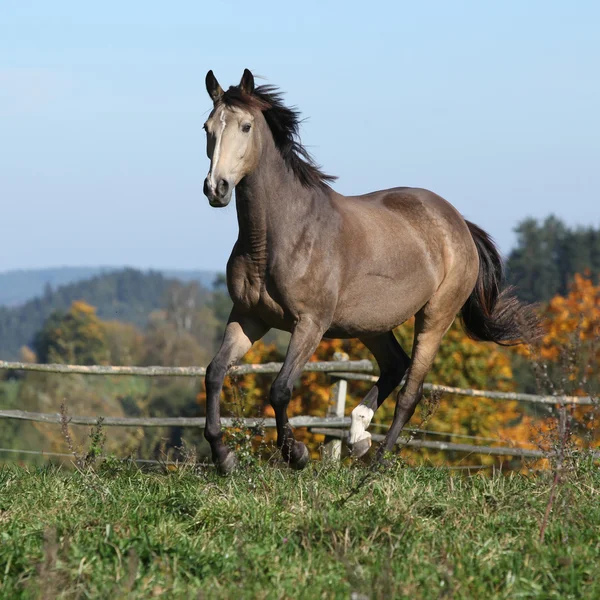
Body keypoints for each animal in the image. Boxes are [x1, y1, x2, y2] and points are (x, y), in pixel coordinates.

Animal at [202, 70, 540, 474]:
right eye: (207, 128)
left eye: (246, 126)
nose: (216, 188)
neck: (273, 238)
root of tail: (457, 222)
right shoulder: (248, 317)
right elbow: (214, 373)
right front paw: (223, 456)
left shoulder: (310, 324)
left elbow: (280, 388)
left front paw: (295, 453)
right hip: (370, 323)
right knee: (395, 365)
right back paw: (358, 434)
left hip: (435, 317)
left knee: (411, 390)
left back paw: (377, 461)